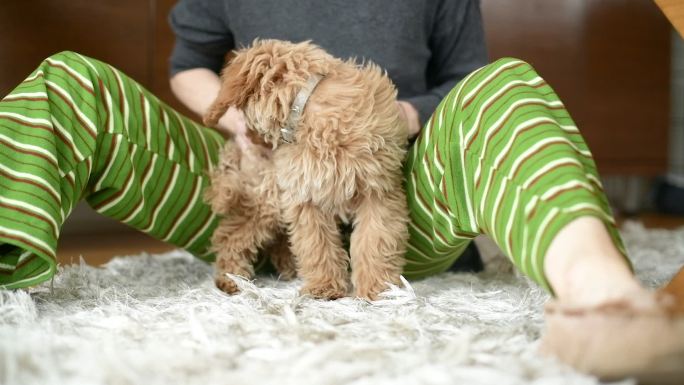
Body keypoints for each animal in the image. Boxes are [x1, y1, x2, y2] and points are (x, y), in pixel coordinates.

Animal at [202, 39, 406, 298]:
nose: (250, 137)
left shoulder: (378, 190)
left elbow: (376, 240)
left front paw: (378, 288)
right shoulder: (304, 196)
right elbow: (316, 244)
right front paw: (324, 287)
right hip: (267, 199)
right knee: (230, 235)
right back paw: (232, 279)